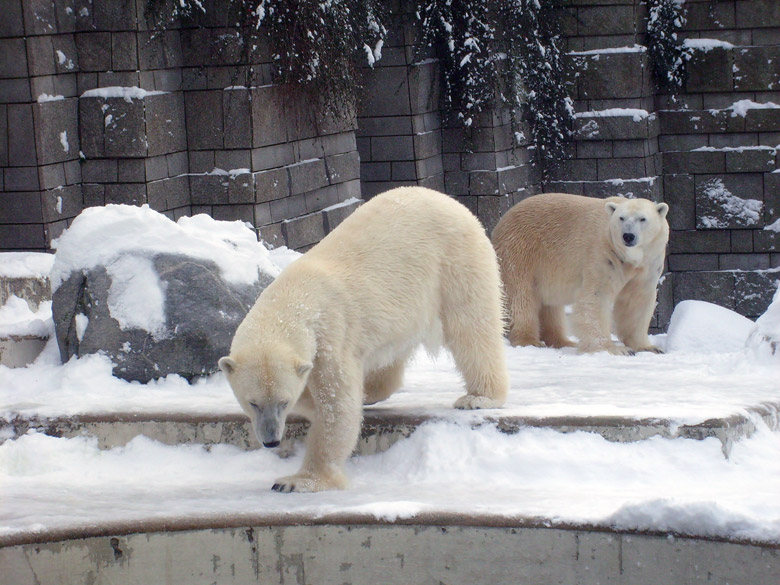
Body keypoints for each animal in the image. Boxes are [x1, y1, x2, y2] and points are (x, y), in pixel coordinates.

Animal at [219, 185, 512, 490]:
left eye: (283, 402)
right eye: (252, 402)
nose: (271, 440)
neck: (295, 296)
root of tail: (450, 201)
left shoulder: (331, 335)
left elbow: (337, 406)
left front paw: (297, 481)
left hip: (455, 261)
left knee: (471, 328)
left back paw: (480, 396)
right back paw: (371, 392)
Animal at [494, 194, 672, 354]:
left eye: (642, 219)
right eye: (621, 218)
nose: (628, 236)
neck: (629, 258)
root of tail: (502, 222)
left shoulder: (648, 264)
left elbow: (636, 301)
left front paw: (649, 347)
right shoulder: (604, 254)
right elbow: (597, 297)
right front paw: (613, 349)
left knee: (550, 306)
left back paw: (563, 341)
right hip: (521, 252)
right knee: (521, 298)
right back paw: (529, 340)